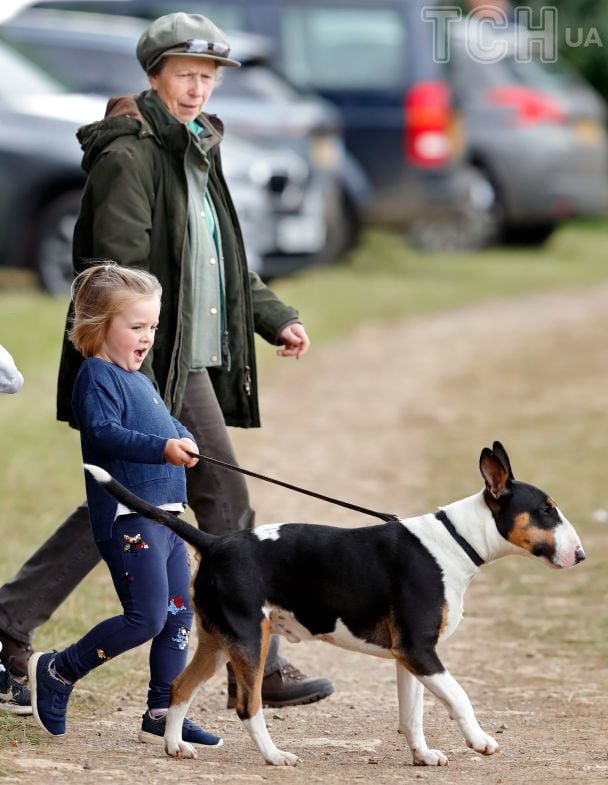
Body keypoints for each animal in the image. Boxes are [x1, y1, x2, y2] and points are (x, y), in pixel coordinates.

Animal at [85, 444, 584, 768]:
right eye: (546, 509)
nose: (580, 555)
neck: (455, 541)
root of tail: (215, 542)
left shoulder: (409, 656)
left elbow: (413, 714)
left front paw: (423, 756)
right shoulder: (422, 651)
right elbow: (459, 697)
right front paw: (480, 742)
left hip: (216, 640)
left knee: (180, 687)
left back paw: (176, 748)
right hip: (250, 640)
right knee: (248, 705)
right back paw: (275, 757)